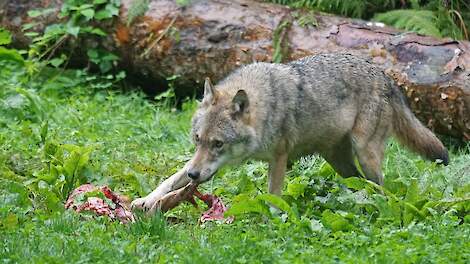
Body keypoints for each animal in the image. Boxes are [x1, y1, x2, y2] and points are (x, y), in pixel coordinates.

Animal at [131, 53, 448, 210]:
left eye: (218, 144)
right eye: (198, 140)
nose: (195, 176)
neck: (264, 107)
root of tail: (385, 76)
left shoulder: (280, 159)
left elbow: (273, 195)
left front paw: (271, 222)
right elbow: (170, 180)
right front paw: (146, 200)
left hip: (365, 154)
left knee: (381, 188)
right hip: (340, 161)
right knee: (360, 183)